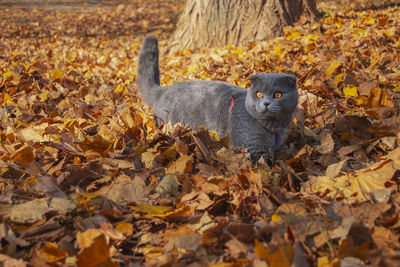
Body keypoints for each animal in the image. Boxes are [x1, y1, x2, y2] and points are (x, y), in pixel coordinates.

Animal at [137, 35, 296, 163]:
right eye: (259, 94)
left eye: (278, 94)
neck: (272, 128)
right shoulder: (253, 148)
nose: (266, 103)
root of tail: (163, 90)